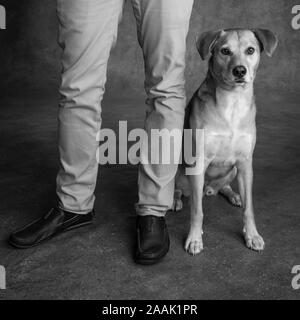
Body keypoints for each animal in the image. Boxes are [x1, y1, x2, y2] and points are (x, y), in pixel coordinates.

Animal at [173, 28, 278, 256]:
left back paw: (232, 194)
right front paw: (195, 238)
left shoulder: (245, 164)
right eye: (225, 51)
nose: (239, 70)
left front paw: (252, 235)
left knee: (224, 185)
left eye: (250, 50)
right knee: (177, 188)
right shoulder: (199, 162)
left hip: (234, 171)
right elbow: (197, 211)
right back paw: (175, 199)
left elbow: (249, 208)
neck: (233, 103)